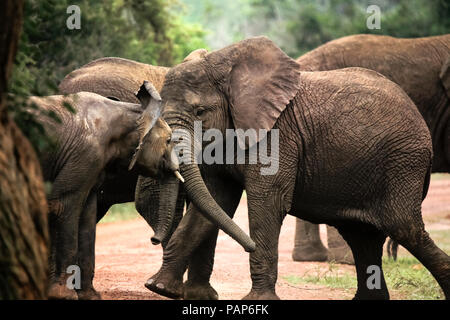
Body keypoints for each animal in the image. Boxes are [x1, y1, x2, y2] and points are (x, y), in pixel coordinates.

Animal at [28, 83, 181, 300]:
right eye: (168, 141)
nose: (153, 239)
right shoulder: (86, 153)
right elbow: (62, 207)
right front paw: (64, 296)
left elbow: (87, 219)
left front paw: (90, 296)